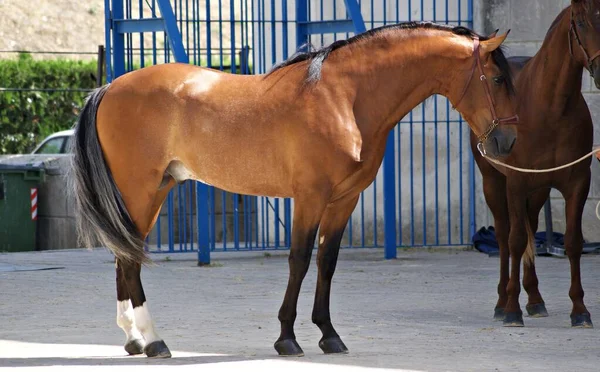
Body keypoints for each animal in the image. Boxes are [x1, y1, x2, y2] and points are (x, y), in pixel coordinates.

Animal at [70, 21, 516, 358]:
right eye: (496, 79)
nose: (506, 143)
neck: (344, 98)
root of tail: (108, 88)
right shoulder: (310, 197)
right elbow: (299, 260)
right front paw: (287, 338)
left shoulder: (344, 199)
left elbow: (327, 262)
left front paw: (329, 335)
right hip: (140, 191)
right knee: (130, 259)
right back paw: (154, 341)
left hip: (152, 192)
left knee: (124, 256)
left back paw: (134, 338)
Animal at [472, 1, 596, 328]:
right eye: (581, 22)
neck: (550, 106)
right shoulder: (516, 182)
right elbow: (515, 241)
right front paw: (511, 309)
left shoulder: (578, 182)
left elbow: (573, 242)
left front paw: (580, 311)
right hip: (493, 182)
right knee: (504, 237)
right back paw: (502, 301)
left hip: (538, 190)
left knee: (530, 226)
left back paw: (535, 299)